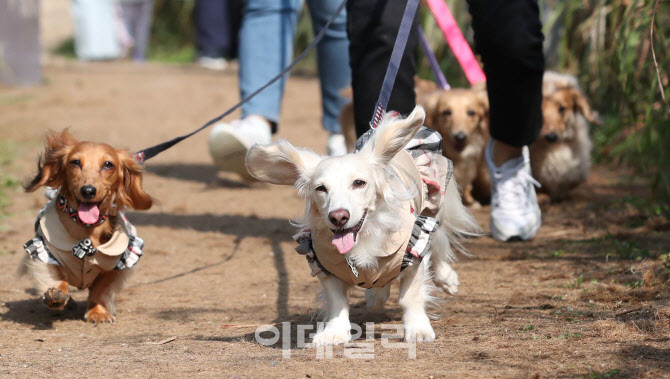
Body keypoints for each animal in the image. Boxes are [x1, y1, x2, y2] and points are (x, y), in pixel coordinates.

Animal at [21, 131, 153, 324]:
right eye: (75, 162)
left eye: (108, 164)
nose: (88, 191)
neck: (87, 230)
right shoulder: (44, 250)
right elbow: (57, 277)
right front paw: (56, 295)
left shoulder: (118, 263)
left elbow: (100, 290)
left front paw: (98, 312)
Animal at [245, 105, 478, 346]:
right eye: (320, 188)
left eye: (359, 183)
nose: (338, 217)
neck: (363, 237)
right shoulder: (323, 264)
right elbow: (337, 301)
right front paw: (334, 332)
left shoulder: (413, 252)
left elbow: (410, 297)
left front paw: (418, 329)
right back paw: (377, 294)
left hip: (433, 207)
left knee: (439, 244)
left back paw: (446, 278)